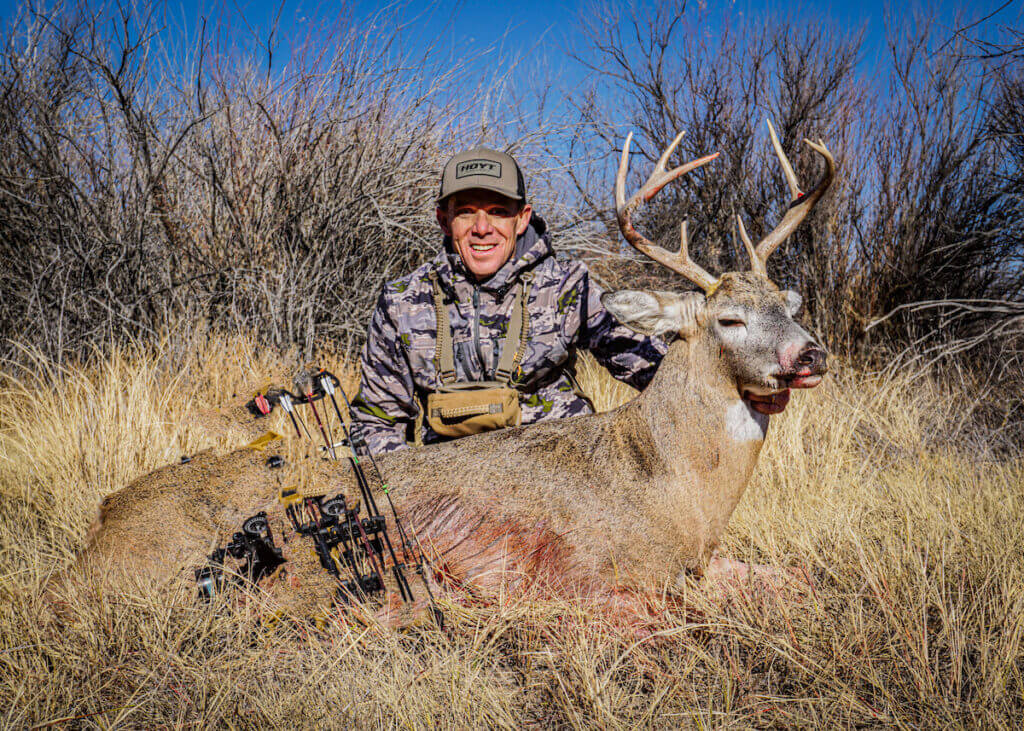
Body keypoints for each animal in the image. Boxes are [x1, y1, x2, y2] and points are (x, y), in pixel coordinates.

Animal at [57, 121, 835, 622]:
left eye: (786, 305)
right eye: (728, 319)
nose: (810, 354)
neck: (671, 489)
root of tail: (100, 526)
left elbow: (797, 576)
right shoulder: (587, 575)